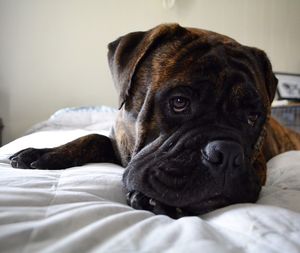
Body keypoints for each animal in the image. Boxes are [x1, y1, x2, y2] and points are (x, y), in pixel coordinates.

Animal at [8, 23, 300, 217]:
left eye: (252, 117)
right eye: (179, 102)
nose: (226, 153)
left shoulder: (258, 167)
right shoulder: (117, 143)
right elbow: (91, 138)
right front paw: (45, 154)